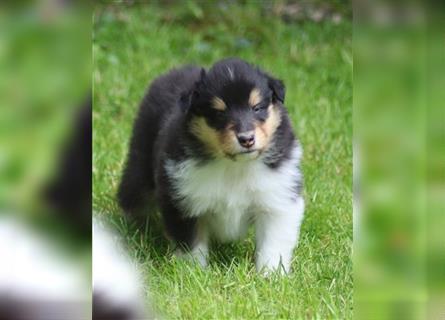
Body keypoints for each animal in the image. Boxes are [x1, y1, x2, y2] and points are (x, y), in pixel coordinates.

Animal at [118, 58, 304, 274]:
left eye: (257, 107)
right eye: (218, 113)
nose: (246, 139)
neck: (234, 166)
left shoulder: (278, 197)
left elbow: (273, 244)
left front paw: (271, 275)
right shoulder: (183, 199)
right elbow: (190, 243)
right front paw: (193, 272)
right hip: (140, 165)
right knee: (133, 196)